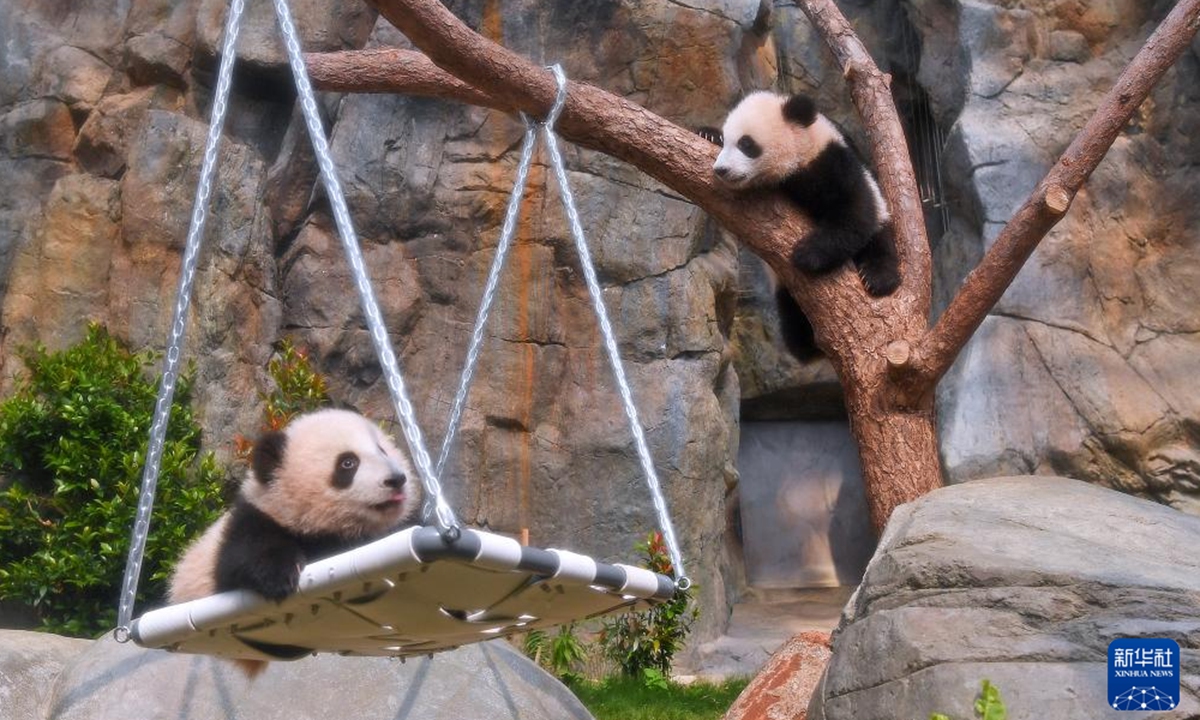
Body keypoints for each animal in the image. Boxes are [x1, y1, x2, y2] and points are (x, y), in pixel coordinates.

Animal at [168, 408, 422, 676]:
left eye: (382, 450)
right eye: (348, 463)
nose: (396, 479)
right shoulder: (254, 520)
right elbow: (243, 557)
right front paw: (280, 577)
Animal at [703, 91, 901, 357]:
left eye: (746, 144)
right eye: (726, 140)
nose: (721, 170)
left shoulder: (832, 163)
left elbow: (855, 214)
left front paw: (807, 254)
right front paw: (707, 134)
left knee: (879, 240)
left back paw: (877, 277)